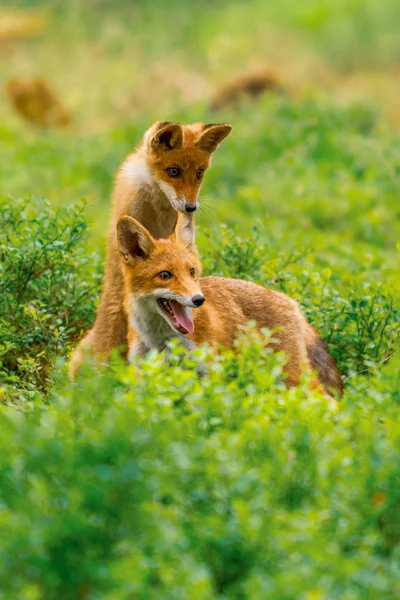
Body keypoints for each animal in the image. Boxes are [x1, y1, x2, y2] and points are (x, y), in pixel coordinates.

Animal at [117, 213, 342, 396]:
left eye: (192, 272)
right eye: (165, 275)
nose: (199, 299)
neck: (161, 341)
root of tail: (290, 301)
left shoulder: (208, 370)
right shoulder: (144, 371)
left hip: (291, 376)